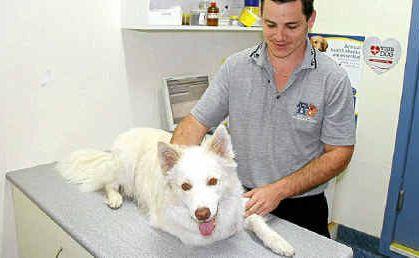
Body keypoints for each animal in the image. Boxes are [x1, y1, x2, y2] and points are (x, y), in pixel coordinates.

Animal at [57, 125, 296, 256]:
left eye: (213, 181)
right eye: (185, 186)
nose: (202, 214)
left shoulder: (241, 206)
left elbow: (257, 221)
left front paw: (279, 243)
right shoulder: (170, 224)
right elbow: (202, 236)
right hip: (123, 167)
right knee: (110, 183)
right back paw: (115, 198)